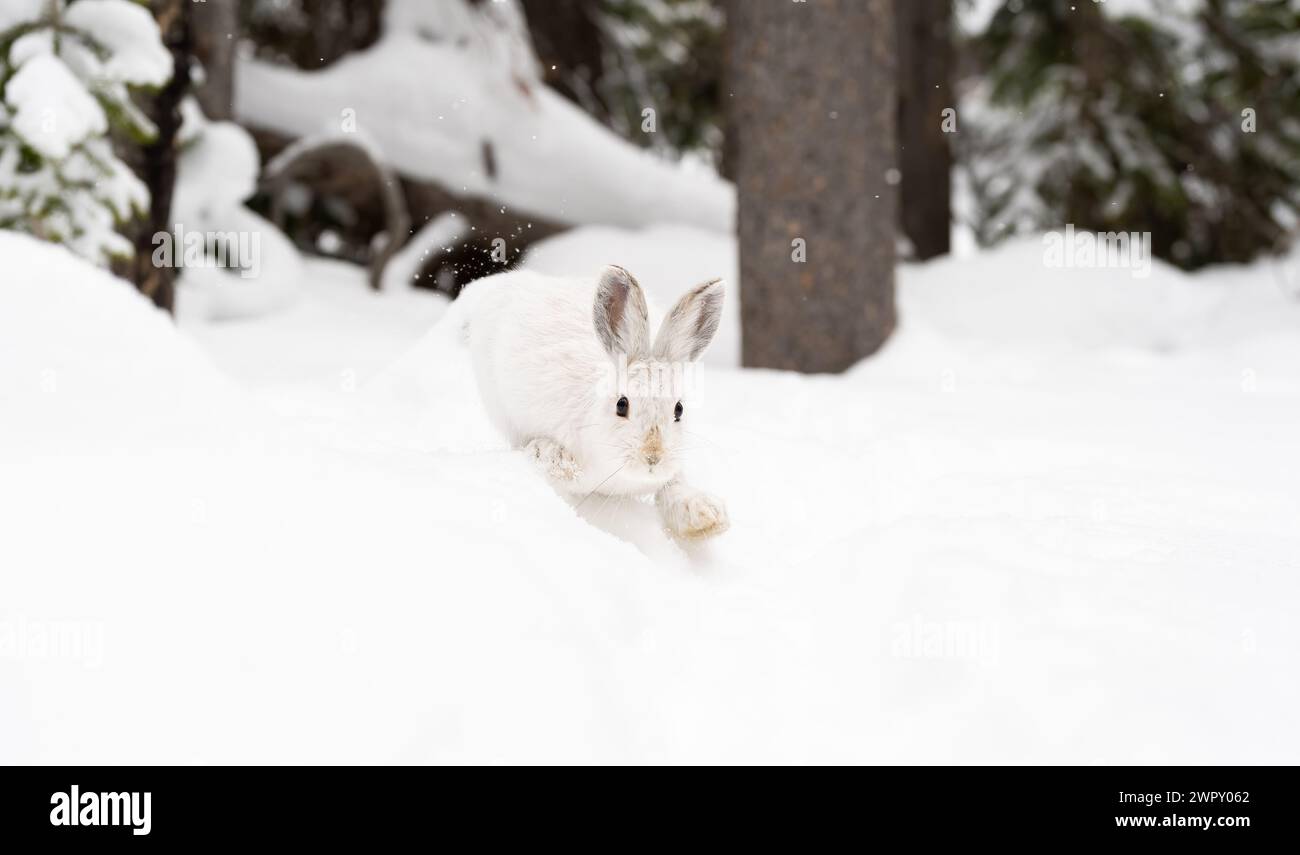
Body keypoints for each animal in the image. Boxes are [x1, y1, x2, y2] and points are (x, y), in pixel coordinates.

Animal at [465, 264, 729, 540]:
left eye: (679, 409)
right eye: (621, 405)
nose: (653, 457)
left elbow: (674, 488)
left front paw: (705, 516)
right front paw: (553, 457)